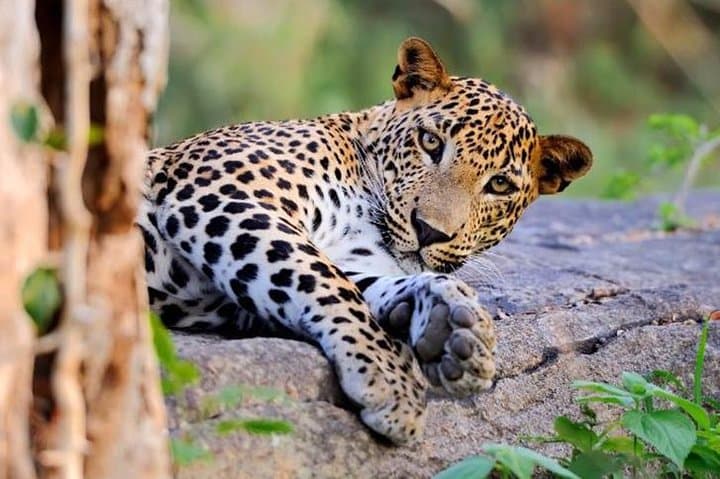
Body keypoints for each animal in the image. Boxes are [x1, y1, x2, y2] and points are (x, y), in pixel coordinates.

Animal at [139, 37, 592, 444]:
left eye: (499, 185)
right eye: (430, 142)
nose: (429, 230)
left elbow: (351, 282)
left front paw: (450, 323)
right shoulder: (224, 193)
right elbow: (326, 281)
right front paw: (391, 379)